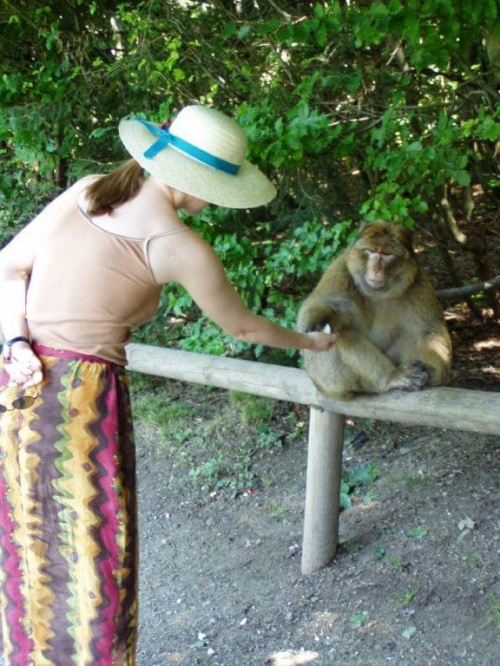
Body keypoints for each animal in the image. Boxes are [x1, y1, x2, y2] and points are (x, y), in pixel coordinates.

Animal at [296, 223, 454, 396]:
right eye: (371, 251)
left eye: (386, 254)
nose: (376, 269)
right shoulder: (340, 270)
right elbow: (321, 305)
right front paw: (318, 320)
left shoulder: (418, 282)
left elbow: (428, 331)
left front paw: (435, 371)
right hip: (329, 382)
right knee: (340, 333)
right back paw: (391, 377)